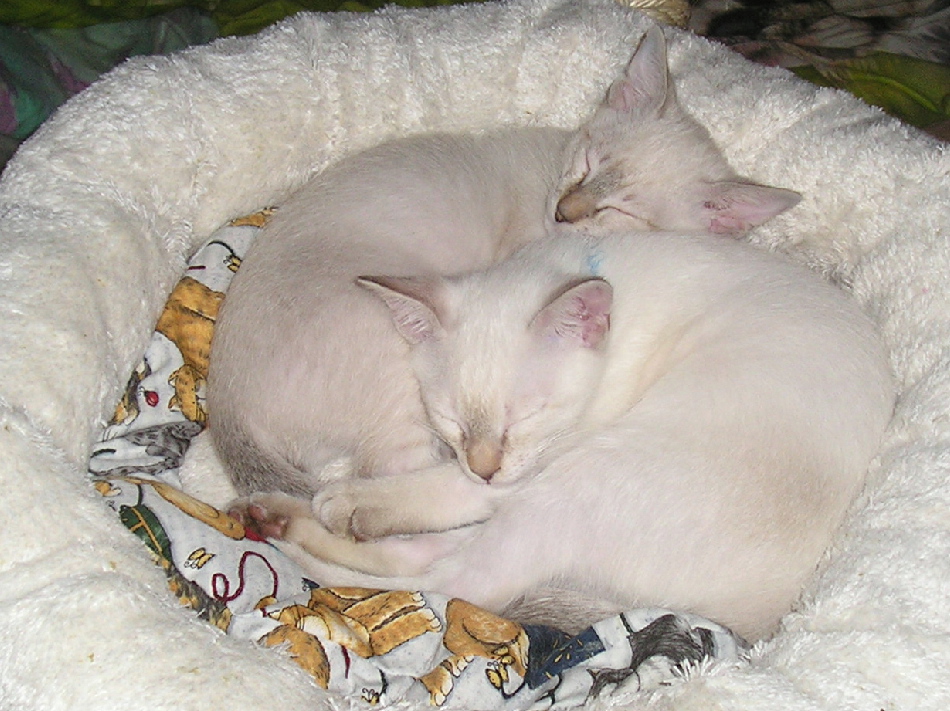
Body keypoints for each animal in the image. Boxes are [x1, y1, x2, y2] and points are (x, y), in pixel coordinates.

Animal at [237, 228, 894, 642]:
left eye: (521, 419)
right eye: (449, 419)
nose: (484, 465)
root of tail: (762, 619)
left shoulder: (545, 452)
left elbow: (441, 490)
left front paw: (350, 499)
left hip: (589, 475)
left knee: (456, 584)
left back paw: (296, 547)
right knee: (441, 563)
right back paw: (275, 516)